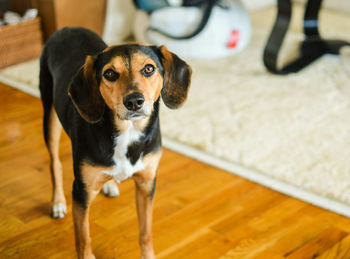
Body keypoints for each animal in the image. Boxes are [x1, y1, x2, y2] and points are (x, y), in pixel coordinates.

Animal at [39, 27, 191, 258]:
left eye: (149, 69)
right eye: (109, 73)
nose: (134, 101)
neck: (128, 132)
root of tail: (67, 28)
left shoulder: (146, 184)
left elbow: (145, 233)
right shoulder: (81, 191)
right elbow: (83, 239)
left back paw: (109, 184)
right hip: (50, 115)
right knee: (54, 161)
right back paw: (57, 202)